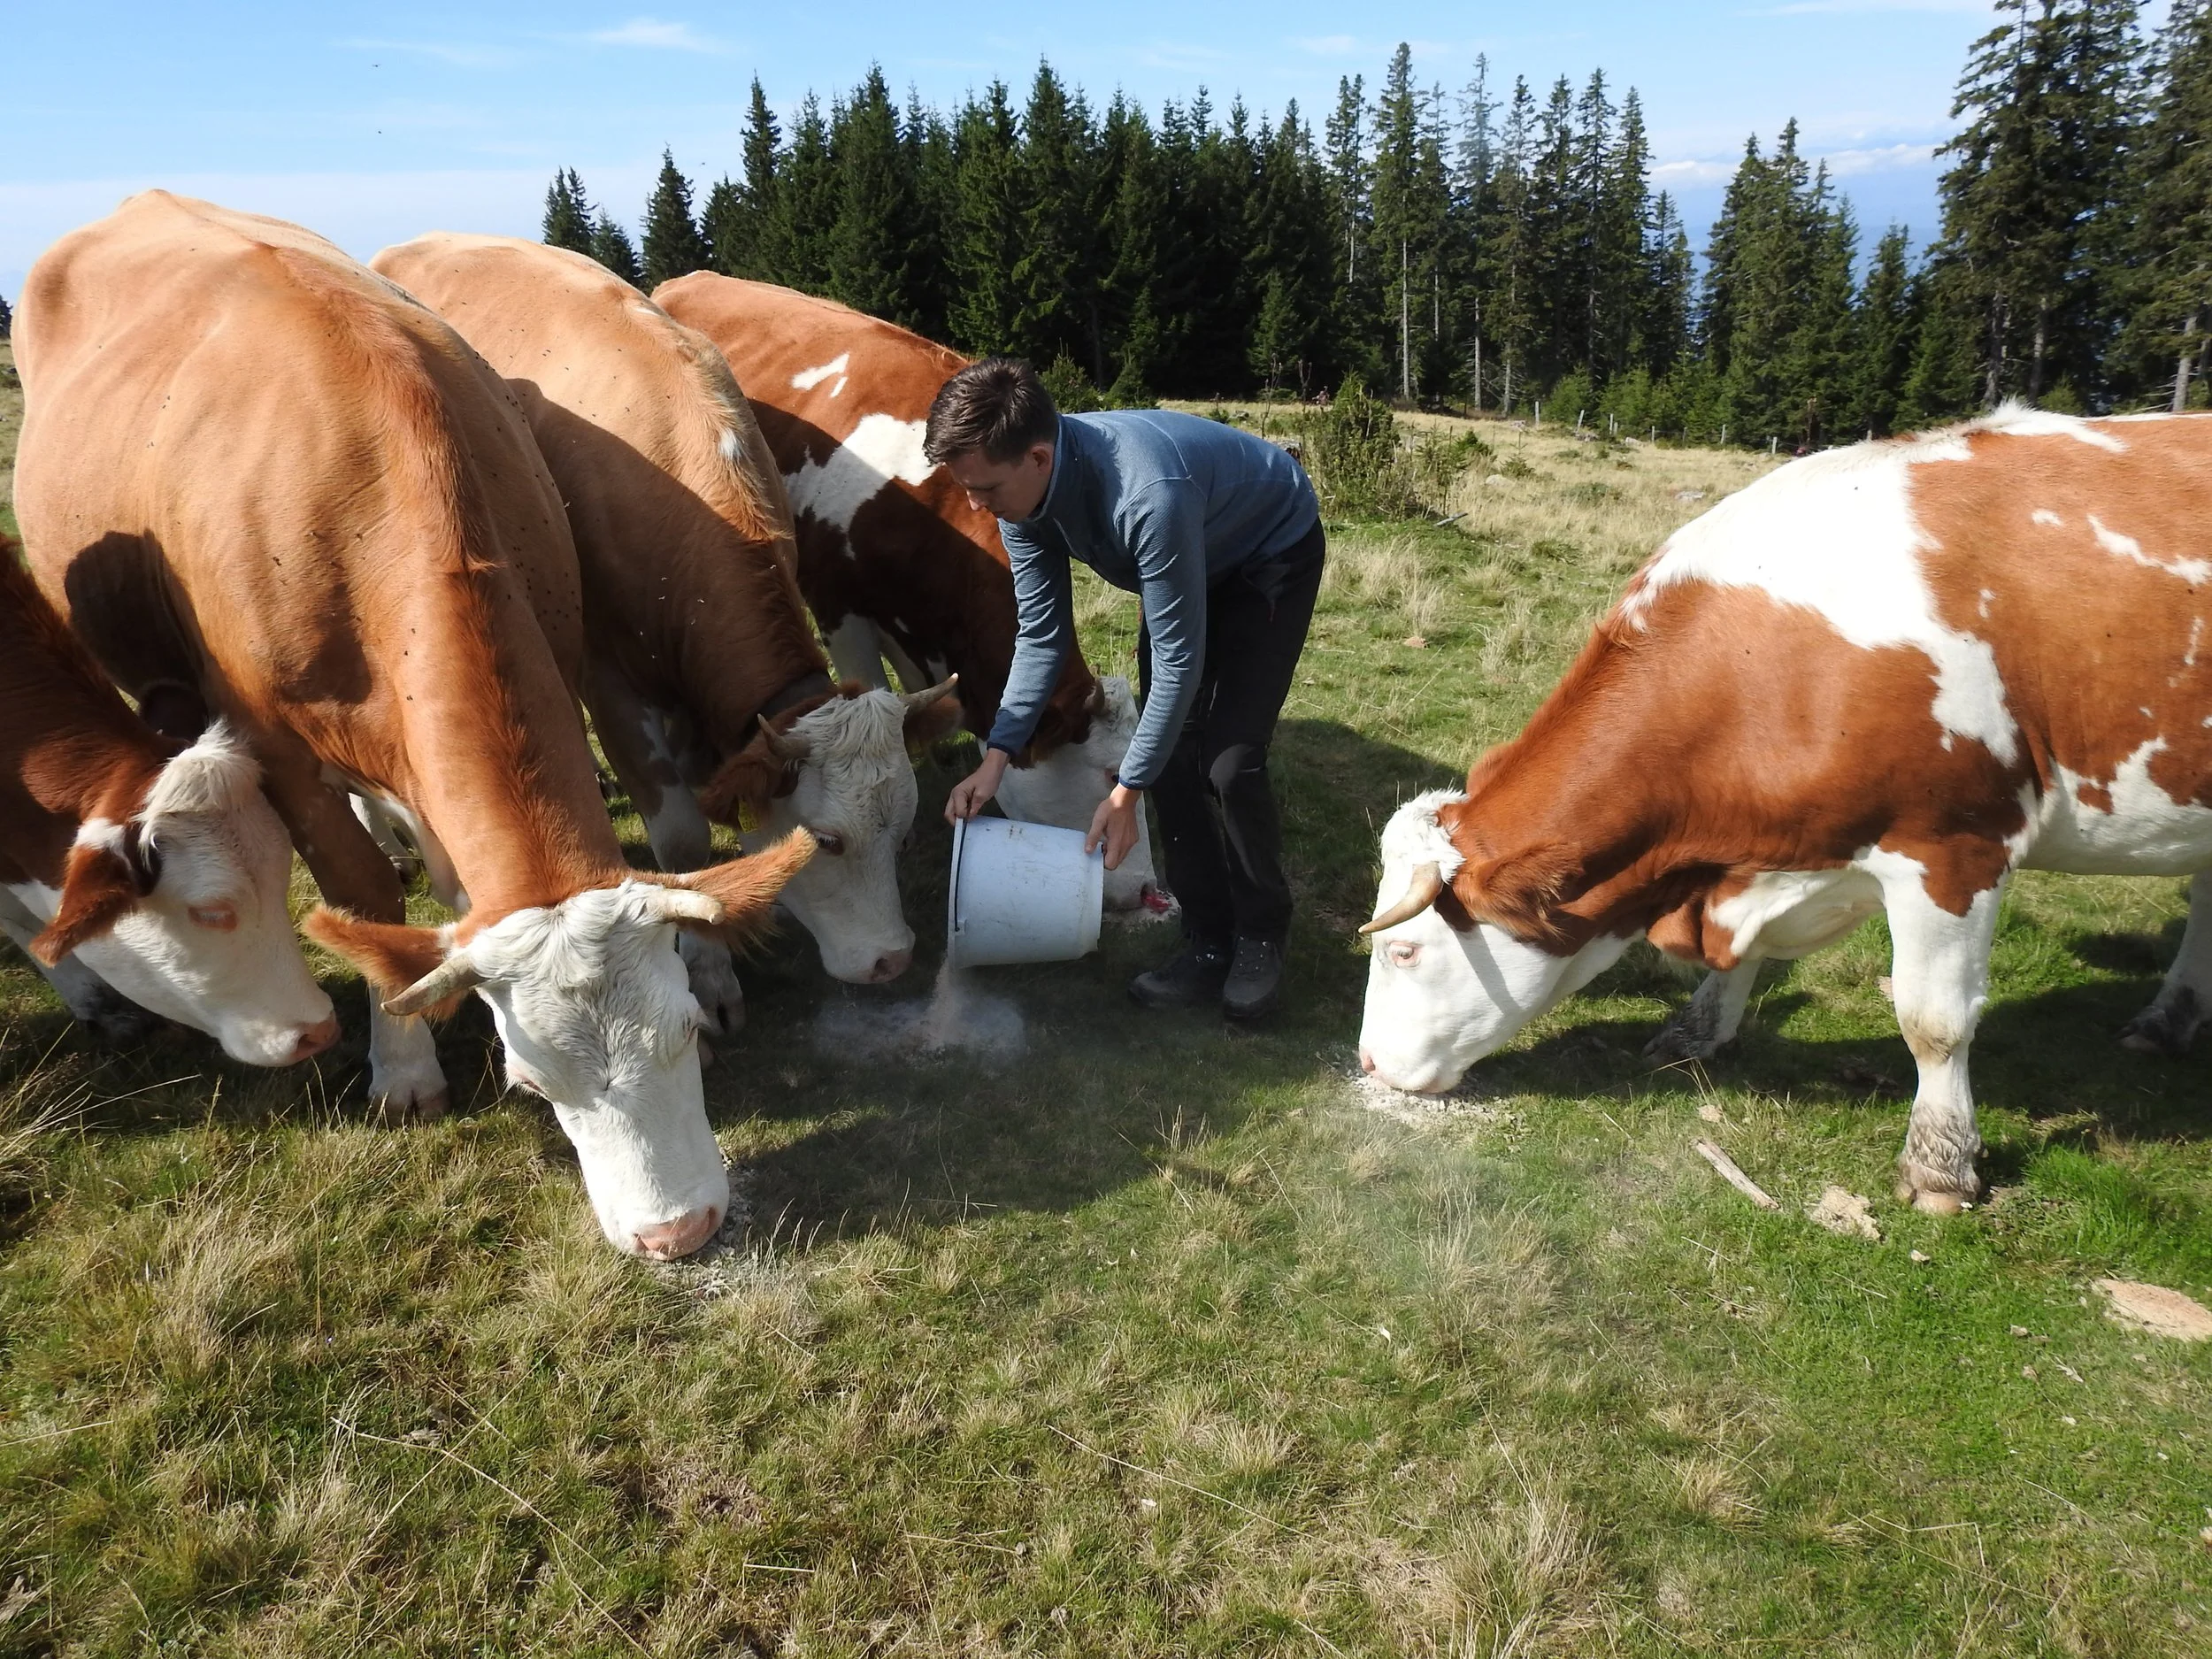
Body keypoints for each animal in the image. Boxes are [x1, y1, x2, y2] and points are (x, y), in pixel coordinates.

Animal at [372, 236, 955, 1022]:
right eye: (829, 840)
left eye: (905, 824)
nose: (892, 960)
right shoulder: (612, 683)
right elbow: (682, 841)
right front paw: (709, 975)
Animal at [1356, 405, 2212, 1214]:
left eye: (1404, 951)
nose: (1366, 1061)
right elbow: (1737, 964)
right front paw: (1694, 1033)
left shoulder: (1953, 847)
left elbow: (1933, 1022)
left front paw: (1940, 1164)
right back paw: (2169, 1019)